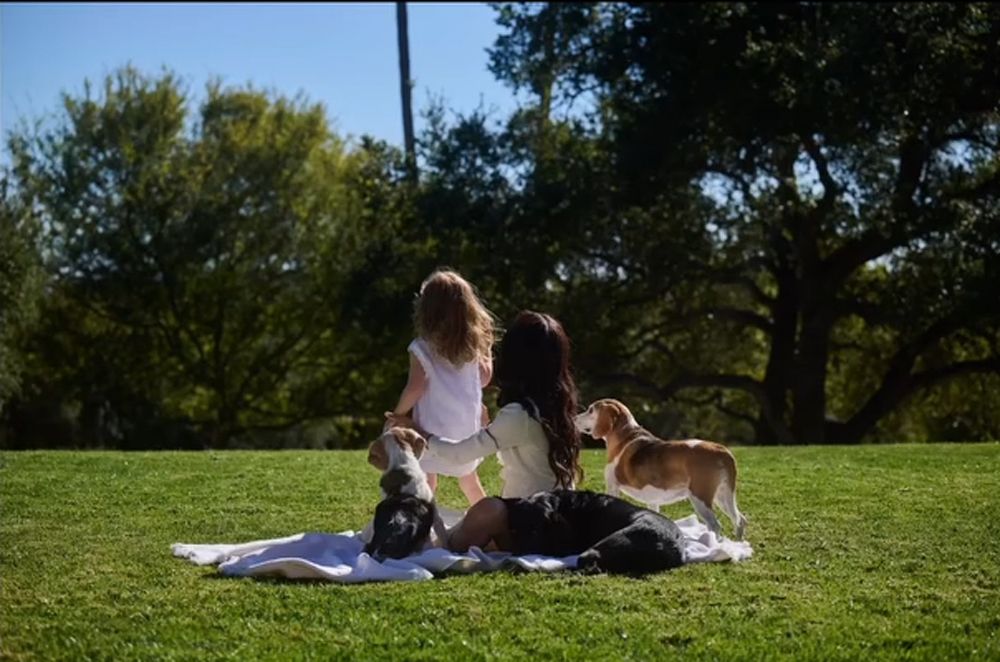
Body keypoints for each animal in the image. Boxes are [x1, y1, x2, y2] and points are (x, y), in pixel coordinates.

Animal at [576, 400, 748, 540]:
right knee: (740, 520)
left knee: (715, 525)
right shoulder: (653, 500)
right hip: (722, 496)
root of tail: (722, 449)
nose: (574, 418)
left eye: (591, 410)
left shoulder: (612, 487)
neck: (625, 437)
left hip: (700, 498)